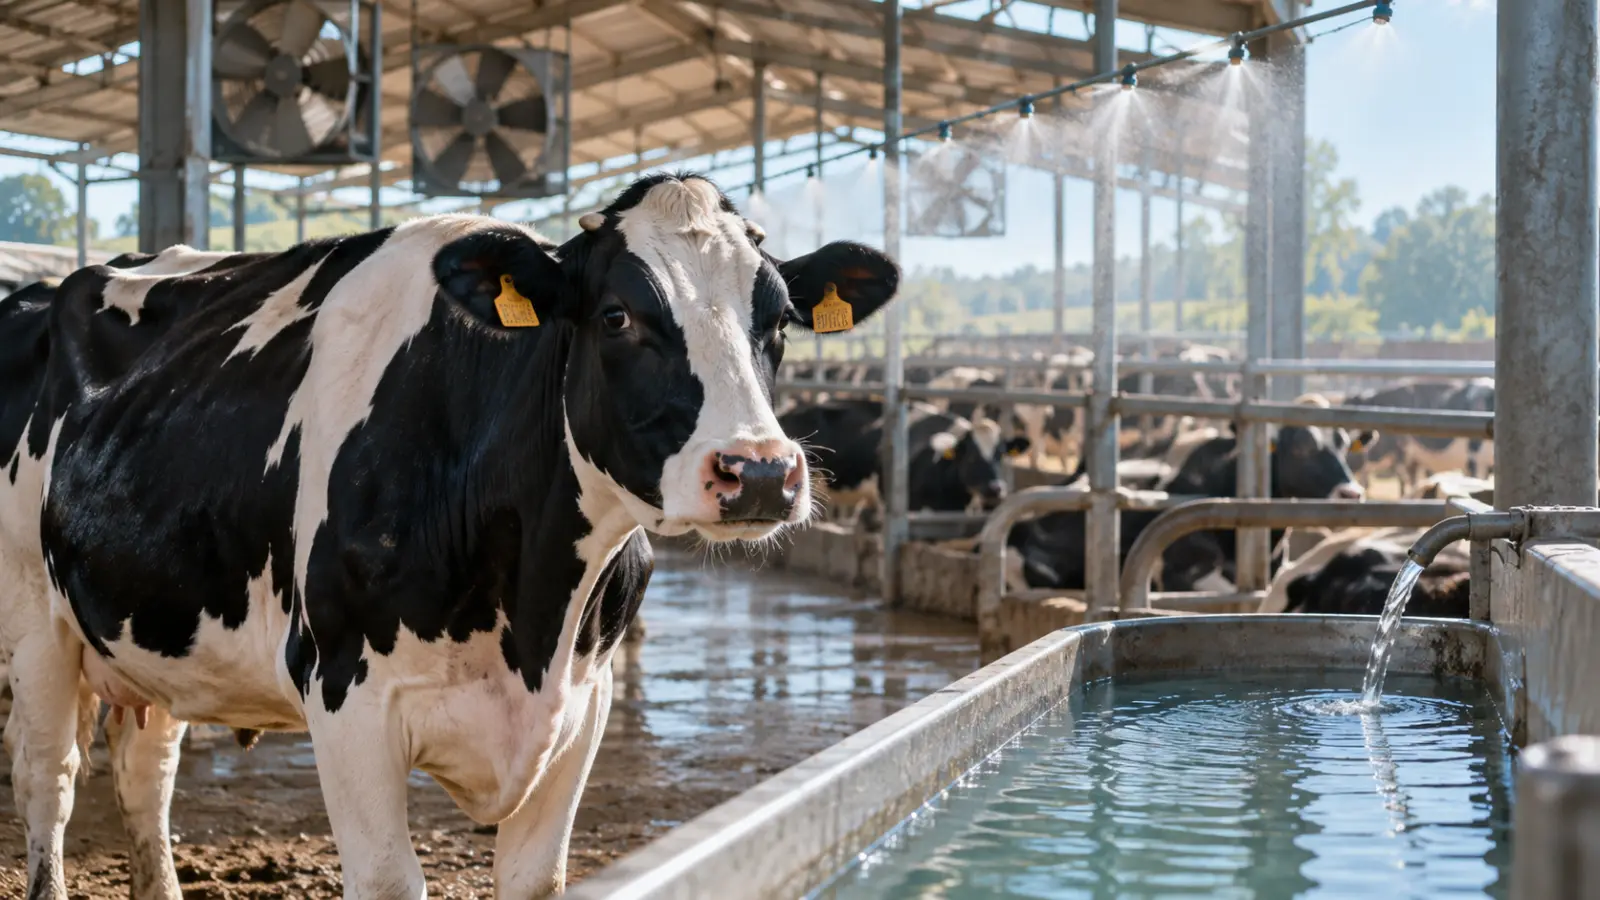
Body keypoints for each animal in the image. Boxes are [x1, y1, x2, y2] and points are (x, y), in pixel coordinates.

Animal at [0, 173, 898, 899]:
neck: (533, 610)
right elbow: (389, 880)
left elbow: (537, 878)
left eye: (778, 323)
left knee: (145, 775)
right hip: (36, 620)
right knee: (48, 776)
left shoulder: (585, 705)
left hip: (149, 630)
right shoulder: (346, 698)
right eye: (616, 316)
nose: (761, 472)